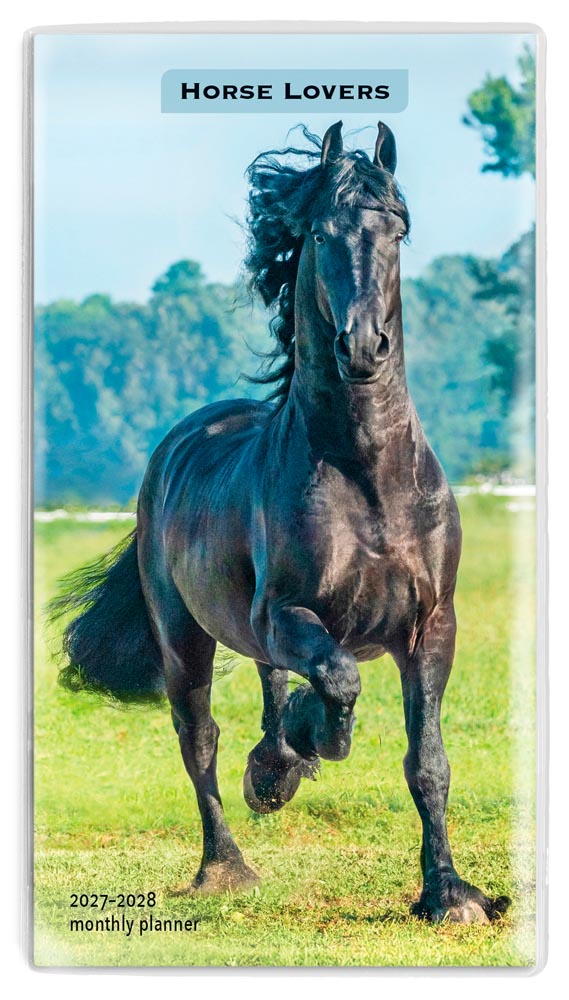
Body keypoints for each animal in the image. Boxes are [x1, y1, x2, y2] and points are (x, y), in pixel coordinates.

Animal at [53, 121, 510, 924]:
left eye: (397, 229)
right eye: (321, 233)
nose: (363, 347)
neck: (368, 478)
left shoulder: (432, 625)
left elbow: (427, 761)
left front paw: (449, 894)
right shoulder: (287, 612)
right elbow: (337, 679)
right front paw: (305, 747)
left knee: (267, 683)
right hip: (183, 636)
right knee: (198, 737)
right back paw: (227, 863)